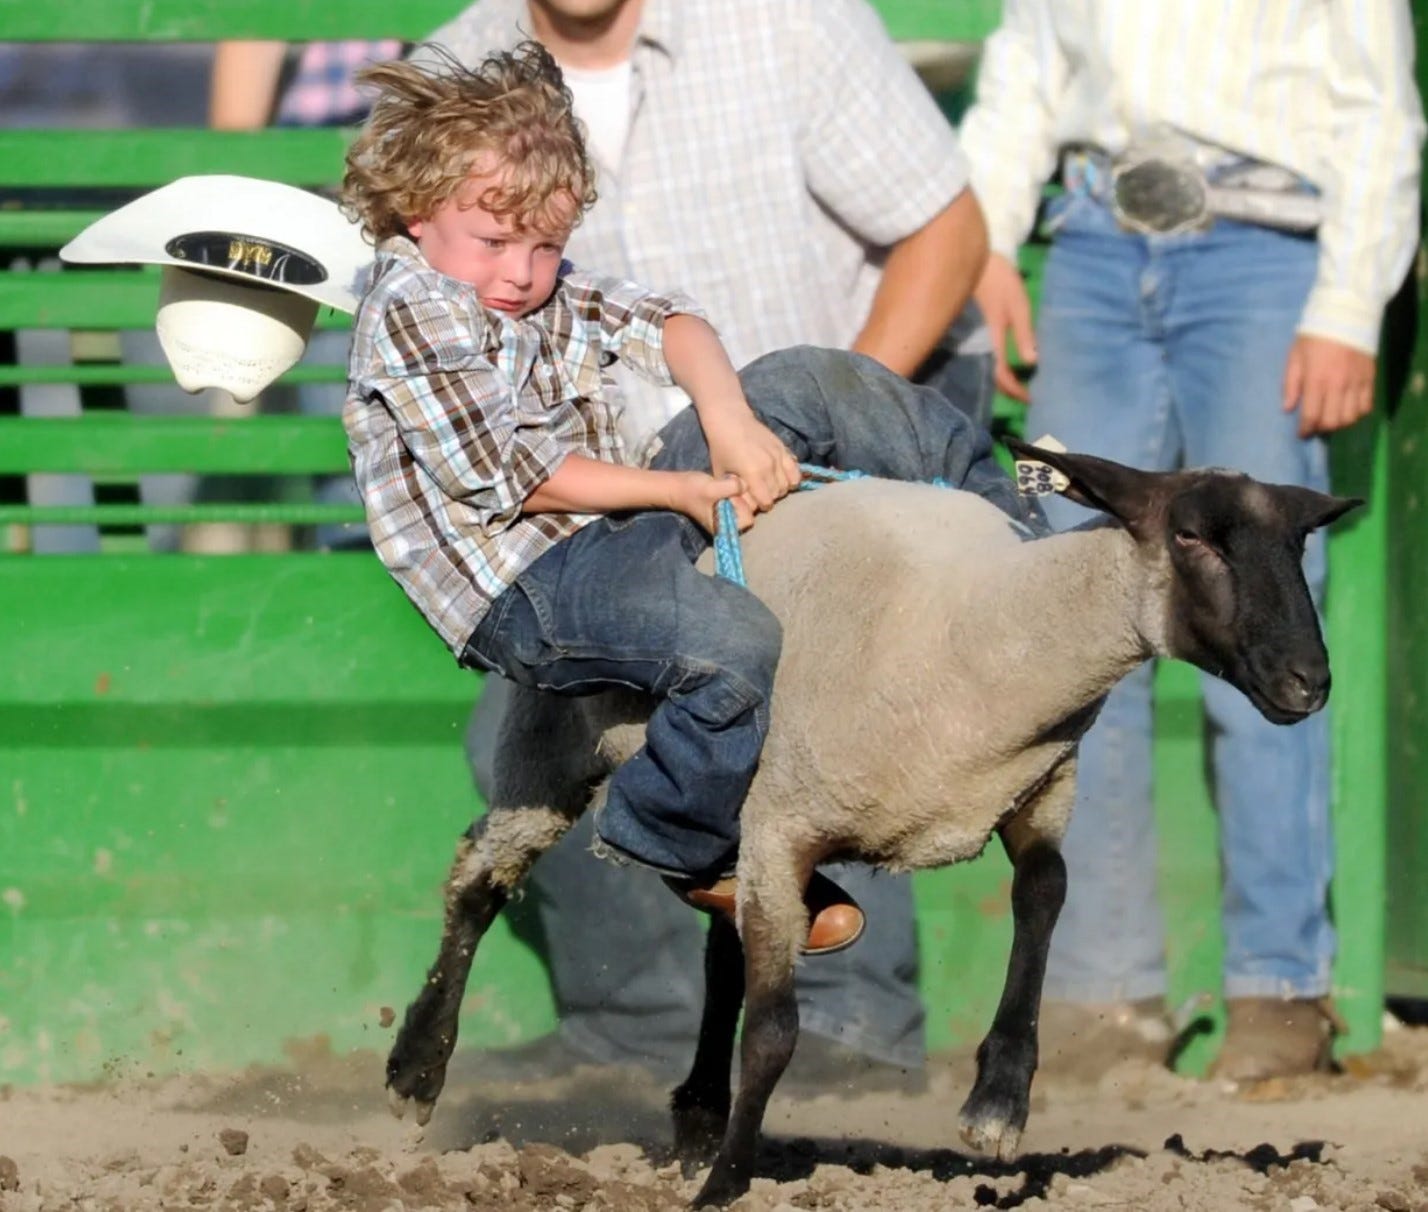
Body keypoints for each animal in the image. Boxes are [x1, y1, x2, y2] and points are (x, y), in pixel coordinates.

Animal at [383, 438, 1356, 1208]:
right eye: (1193, 538)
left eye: (1299, 544)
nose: (1309, 683)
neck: (984, 627)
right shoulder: (785, 827)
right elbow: (776, 1032)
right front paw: (726, 1186)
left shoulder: (1035, 795)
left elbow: (1045, 894)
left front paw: (998, 1104)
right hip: (557, 741)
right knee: (481, 880)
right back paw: (416, 1073)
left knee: (721, 945)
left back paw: (698, 1113)